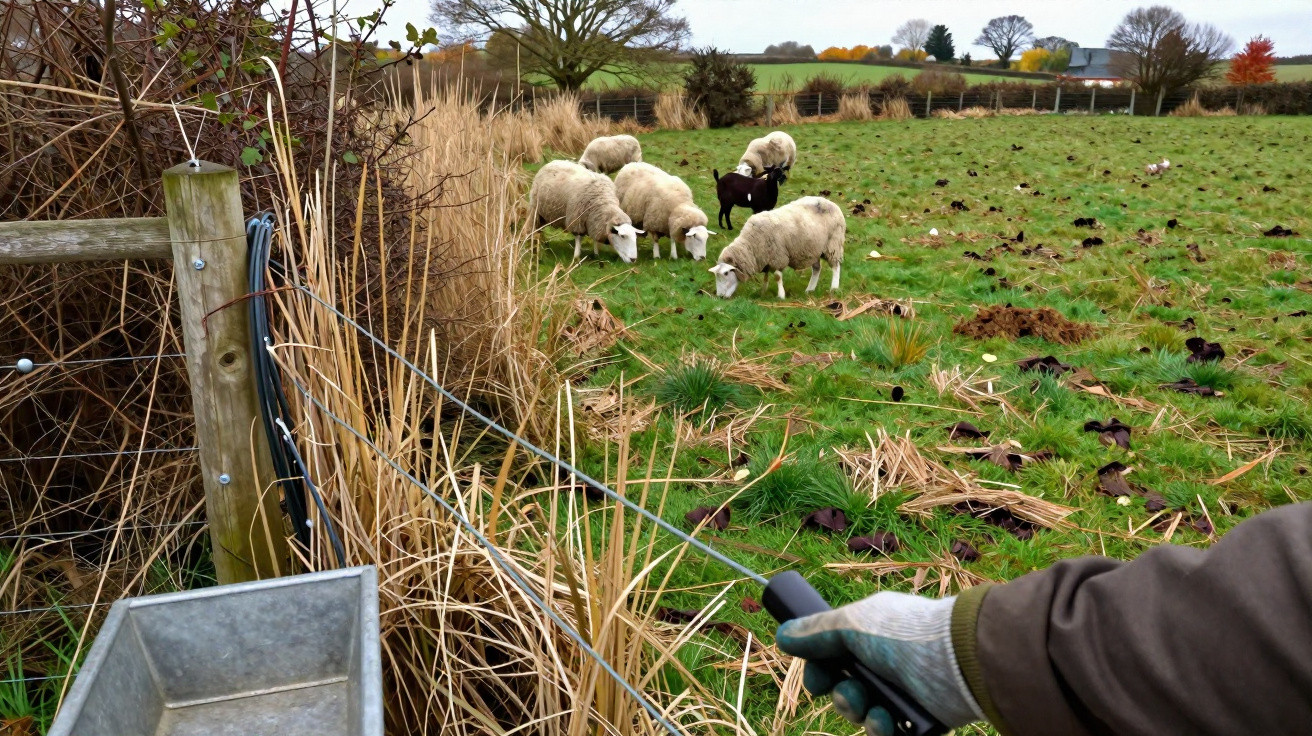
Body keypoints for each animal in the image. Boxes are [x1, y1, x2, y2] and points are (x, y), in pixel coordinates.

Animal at [708, 196, 845, 300]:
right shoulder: (765, 259)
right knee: (817, 269)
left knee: (835, 266)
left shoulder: (778, 257)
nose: (720, 296)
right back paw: (809, 290)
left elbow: (777, 277)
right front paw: (763, 292)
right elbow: (766, 277)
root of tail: (830, 202)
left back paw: (834, 288)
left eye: (726, 273)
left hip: (833, 244)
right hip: (814, 248)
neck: (751, 244)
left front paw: (781, 295)